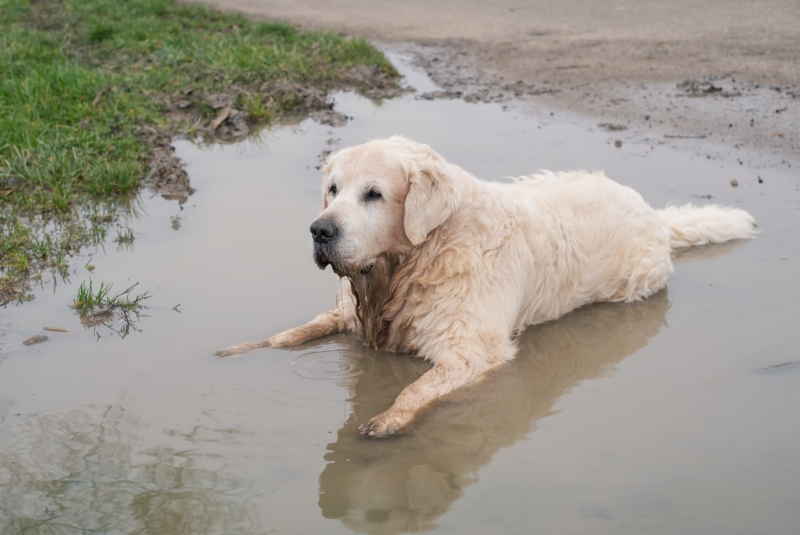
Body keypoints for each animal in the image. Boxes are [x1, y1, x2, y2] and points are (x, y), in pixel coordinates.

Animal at [217, 136, 756, 438]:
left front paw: (389, 417)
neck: (417, 259)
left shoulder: (471, 348)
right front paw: (243, 349)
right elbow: (292, 333)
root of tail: (653, 214)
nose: (320, 230)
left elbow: (418, 386)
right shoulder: (352, 312)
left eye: (373, 194)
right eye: (332, 189)